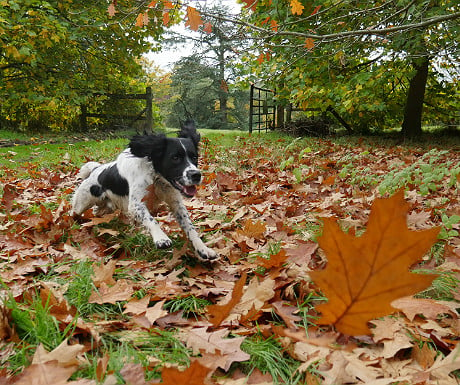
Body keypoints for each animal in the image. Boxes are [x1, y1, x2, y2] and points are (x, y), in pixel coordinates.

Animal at [70, 121, 217, 260]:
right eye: (175, 158)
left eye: (194, 157)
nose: (196, 175)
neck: (157, 178)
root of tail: (95, 170)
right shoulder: (136, 204)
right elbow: (151, 219)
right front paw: (161, 238)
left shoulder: (176, 203)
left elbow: (190, 227)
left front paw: (203, 249)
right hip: (82, 202)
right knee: (73, 212)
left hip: (107, 206)